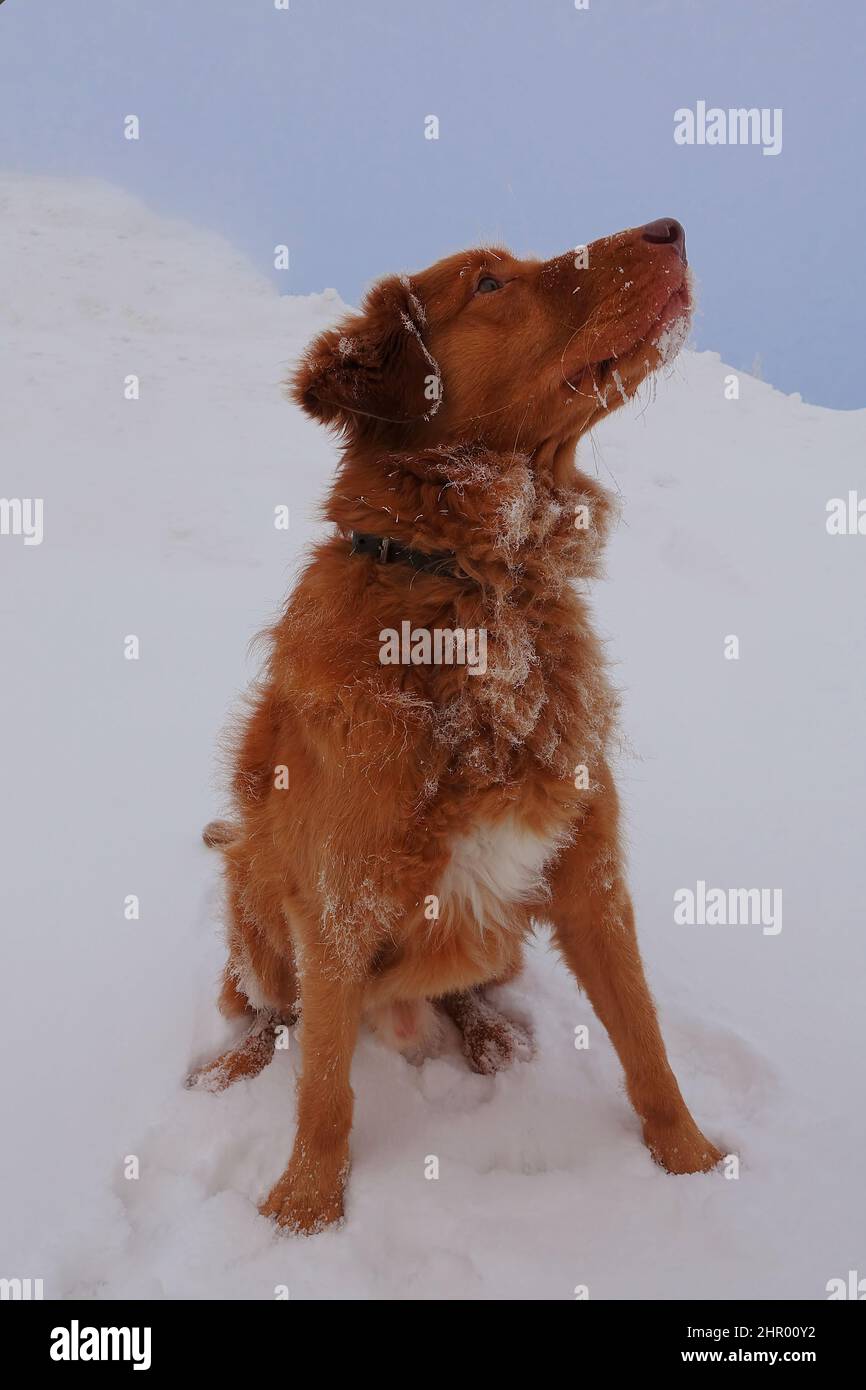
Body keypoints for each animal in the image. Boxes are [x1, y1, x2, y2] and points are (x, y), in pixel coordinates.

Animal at [191, 219, 722, 1239]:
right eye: (487, 283)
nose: (672, 228)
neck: (478, 588)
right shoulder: (339, 904)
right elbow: (324, 1089)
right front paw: (304, 1211)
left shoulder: (591, 877)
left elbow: (646, 1045)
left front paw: (698, 1169)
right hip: (255, 899)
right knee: (270, 1014)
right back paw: (229, 1066)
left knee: (466, 986)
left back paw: (489, 1036)